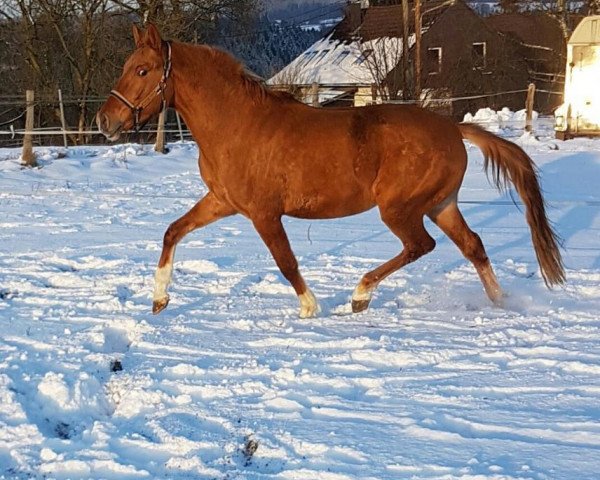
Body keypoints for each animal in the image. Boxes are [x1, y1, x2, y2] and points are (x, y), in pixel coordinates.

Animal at [96, 25, 564, 318]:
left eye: (142, 70)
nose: (105, 121)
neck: (237, 124)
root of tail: (453, 127)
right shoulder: (223, 202)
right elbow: (173, 231)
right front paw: (159, 300)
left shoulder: (263, 213)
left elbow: (286, 262)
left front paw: (310, 307)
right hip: (441, 205)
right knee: (474, 246)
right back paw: (501, 303)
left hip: (401, 209)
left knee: (422, 246)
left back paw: (360, 295)